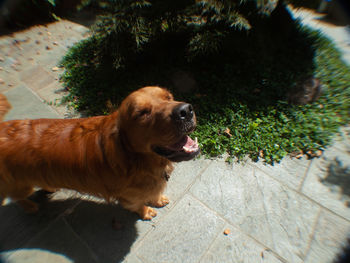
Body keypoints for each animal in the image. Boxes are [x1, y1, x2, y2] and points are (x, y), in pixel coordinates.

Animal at [0, 86, 200, 221]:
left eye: (169, 97)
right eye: (143, 113)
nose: (185, 110)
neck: (138, 161)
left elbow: (153, 193)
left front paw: (157, 199)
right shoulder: (129, 197)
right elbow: (138, 204)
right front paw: (146, 211)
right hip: (20, 185)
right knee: (17, 198)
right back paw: (30, 206)